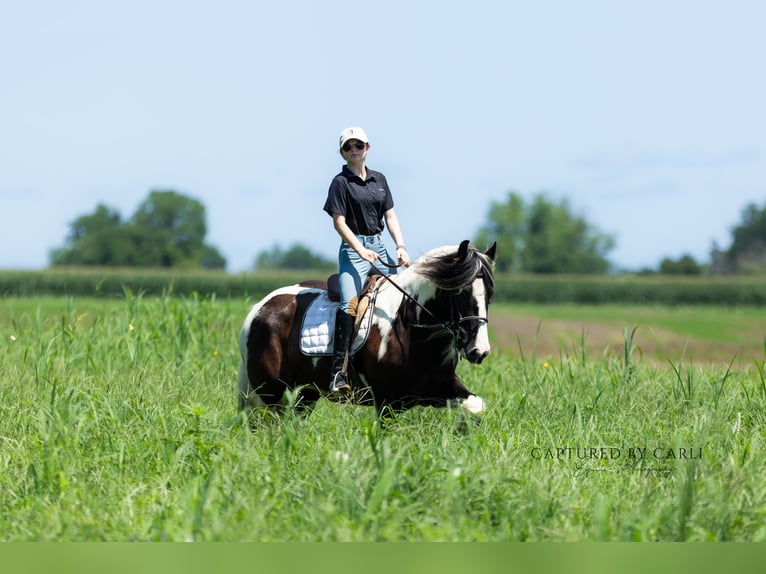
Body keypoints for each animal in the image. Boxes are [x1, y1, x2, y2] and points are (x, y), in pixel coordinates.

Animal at [237, 240, 496, 419]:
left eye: (489, 295)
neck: (411, 331)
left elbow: (477, 407)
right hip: (270, 392)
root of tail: (259, 308)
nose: (479, 351)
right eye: (461, 292)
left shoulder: (438, 388)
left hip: (304, 395)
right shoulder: (386, 402)